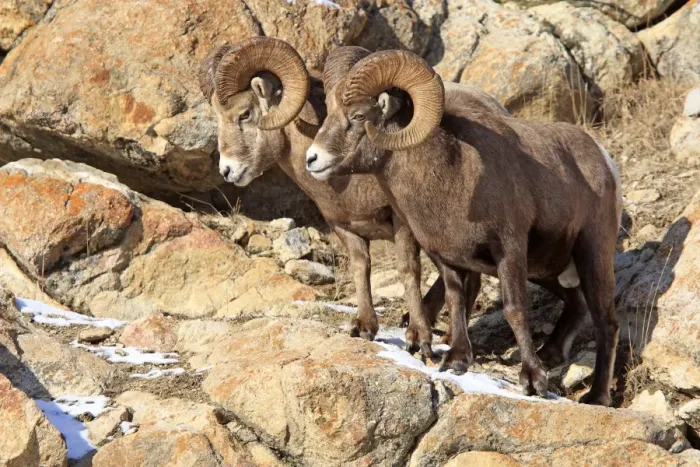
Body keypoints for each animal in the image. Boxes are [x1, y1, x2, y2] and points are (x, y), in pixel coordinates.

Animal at [306, 48, 623, 406]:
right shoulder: (449, 260)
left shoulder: (509, 251)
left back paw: (596, 397)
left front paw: (533, 381)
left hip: (591, 254)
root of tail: (603, 159)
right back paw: (551, 354)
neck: (453, 173)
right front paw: (456, 361)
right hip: (547, 269)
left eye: (359, 115)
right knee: (577, 303)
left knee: (606, 322)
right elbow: (456, 302)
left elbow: (514, 309)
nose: (312, 159)